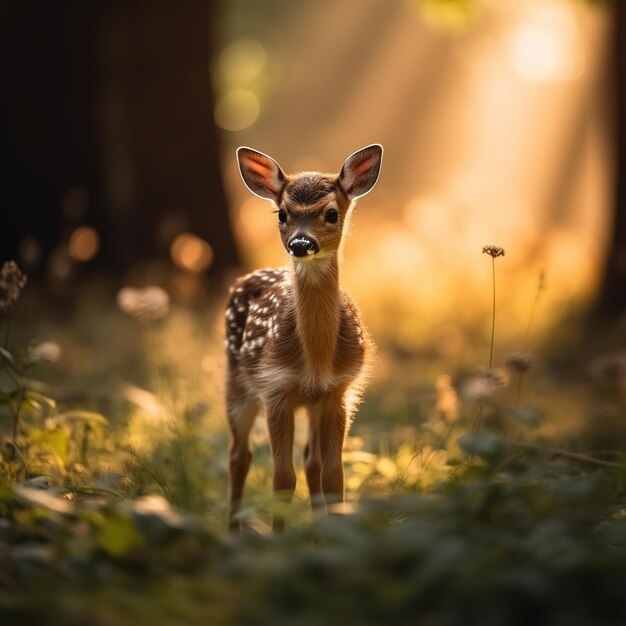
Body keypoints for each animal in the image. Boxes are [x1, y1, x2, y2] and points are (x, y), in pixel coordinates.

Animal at [224, 144, 380, 528]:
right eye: (282, 214)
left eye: (331, 213)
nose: (300, 243)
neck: (317, 360)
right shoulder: (275, 388)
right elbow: (282, 479)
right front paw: (280, 539)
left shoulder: (339, 392)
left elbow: (334, 475)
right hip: (236, 383)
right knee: (238, 455)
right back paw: (232, 531)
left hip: (313, 404)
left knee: (311, 462)